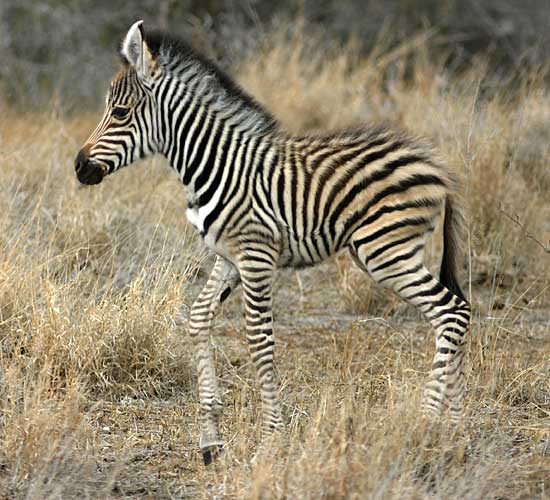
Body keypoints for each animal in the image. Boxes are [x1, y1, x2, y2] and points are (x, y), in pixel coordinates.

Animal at [75, 19, 474, 464]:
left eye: (120, 113)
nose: (79, 167)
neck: (215, 163)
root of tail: (439, 167)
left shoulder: (256, 255)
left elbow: (258, 340)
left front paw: (270, 440)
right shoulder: (227, 257)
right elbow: (198, 320)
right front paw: (210, 439)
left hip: (386, 251)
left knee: (451, 311)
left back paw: (425, 423)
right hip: (393, 251)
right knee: (456, 315)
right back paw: (456, 432)